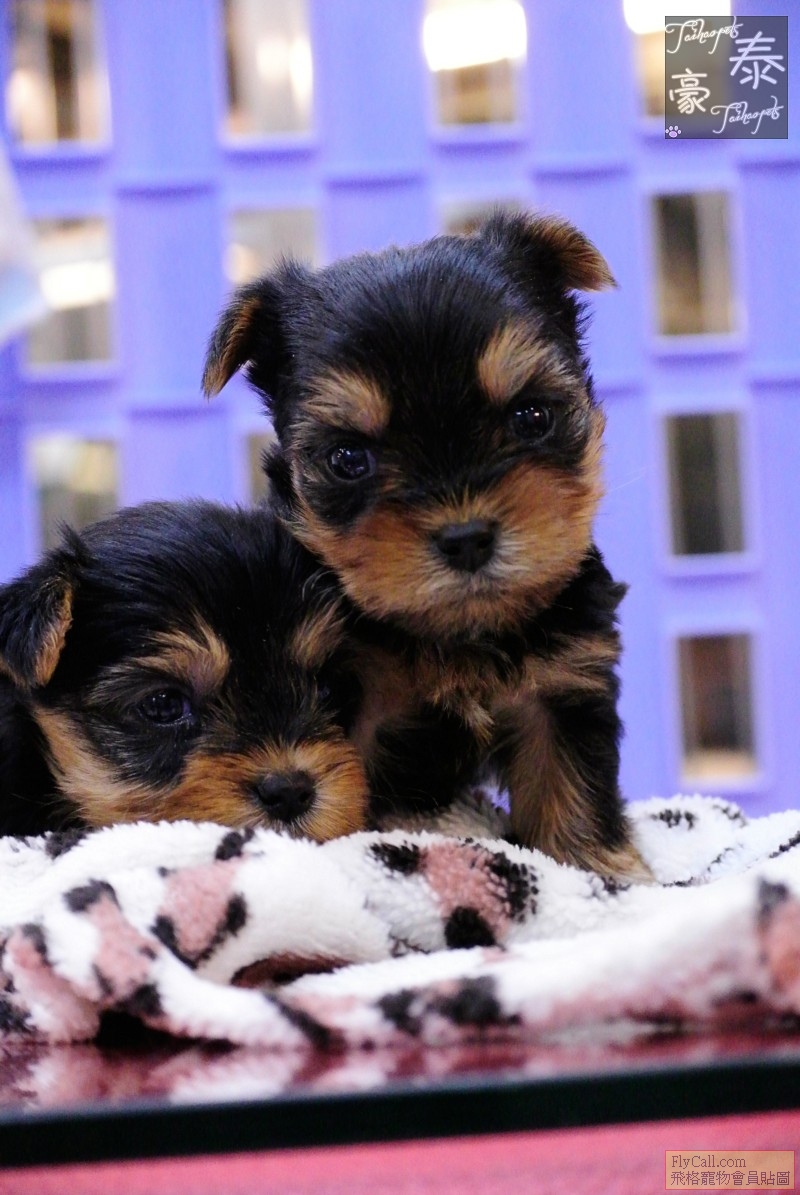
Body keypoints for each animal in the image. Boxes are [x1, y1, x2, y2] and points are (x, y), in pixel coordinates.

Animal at [203, 210, 649, 879]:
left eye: (532, 417)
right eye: (347, 458)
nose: (466, 538)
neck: (454, 631)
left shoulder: (567, 684)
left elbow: (571, 784)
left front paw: (597, 868)